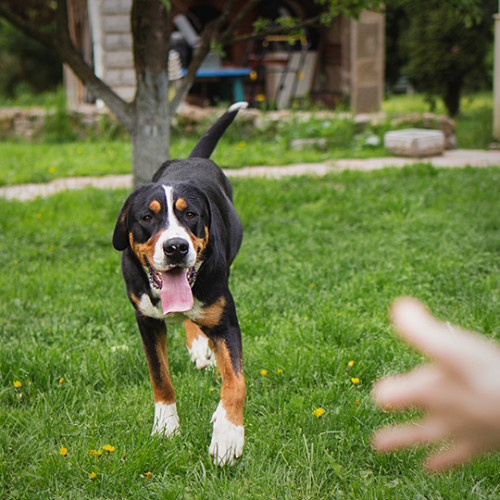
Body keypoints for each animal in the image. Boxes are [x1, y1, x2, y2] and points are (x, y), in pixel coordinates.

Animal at [113, 103, 246, 466]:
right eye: (147, 217)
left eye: (190, 215)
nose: (176, 247)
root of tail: (192, 159)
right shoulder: (146, 321)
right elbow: (160, 377)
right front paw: (166, 426)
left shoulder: (226, 320)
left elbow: (235, 382)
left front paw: (228, 434)